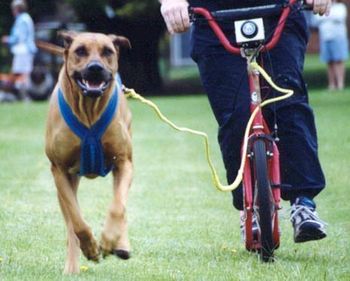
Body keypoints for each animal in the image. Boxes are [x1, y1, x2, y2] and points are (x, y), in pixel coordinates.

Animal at [46, 31, 133, 274]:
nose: (95, 68)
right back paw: (72, 265)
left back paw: (121, 244)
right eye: (80, 51)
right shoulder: (60, 170)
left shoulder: (124, 163)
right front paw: (91, 248)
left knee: (121, 203)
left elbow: (118, 207)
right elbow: (77, 222)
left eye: (107, 51)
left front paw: (109, 240)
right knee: (70, 224)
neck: (88, 110)